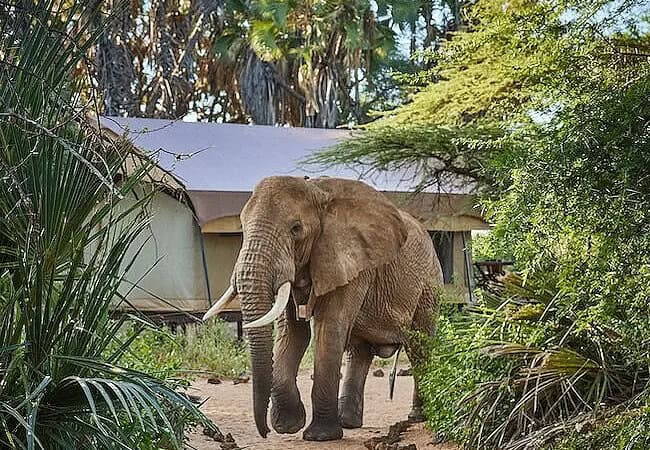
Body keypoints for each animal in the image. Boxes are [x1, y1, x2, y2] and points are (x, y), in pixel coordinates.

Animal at [203, 176, 443, 442]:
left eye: (296, 229)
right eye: (242, 228)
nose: (264, 433)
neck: (317, 192)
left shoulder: (351, 262)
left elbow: (329, 328)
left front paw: (320, 436)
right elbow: (293, 333)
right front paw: (288, 426)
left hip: (429, 285)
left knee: (419, 347)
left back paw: (417, 417)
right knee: (359, 351)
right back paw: (348, 422)